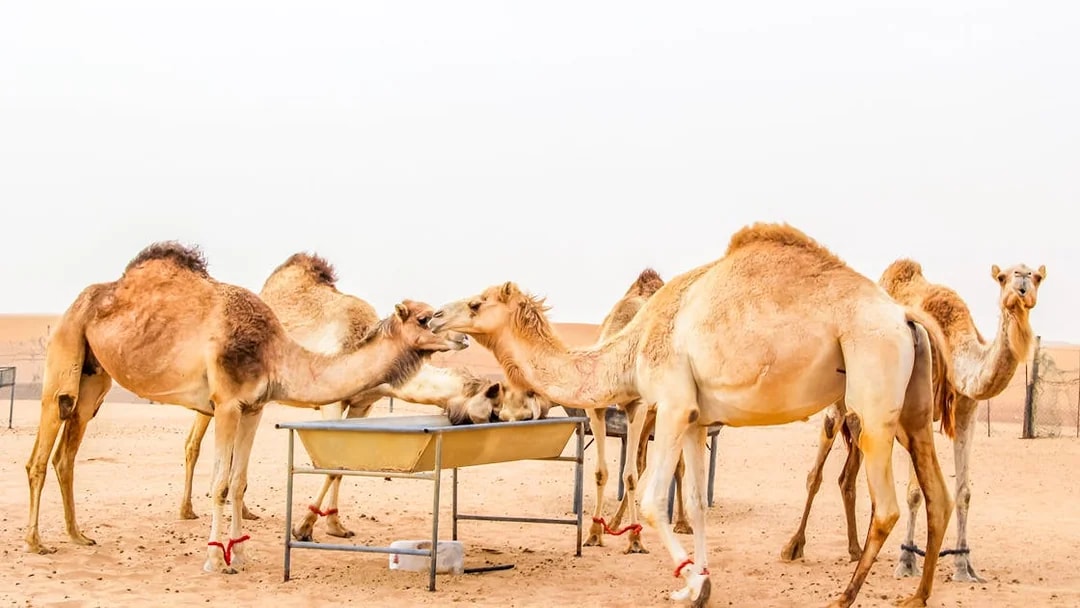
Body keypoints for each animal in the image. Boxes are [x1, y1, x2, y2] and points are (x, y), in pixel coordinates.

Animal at [24, 242, 458, 574]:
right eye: (426, 318)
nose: (459, 339)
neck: (274, 352)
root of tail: (80, 301)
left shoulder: (253, 407)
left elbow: (237, 482)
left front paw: (243, 554)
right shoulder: (227, 403)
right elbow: (219, 484)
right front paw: (216, 560)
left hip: (93, 379)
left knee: (66, 454)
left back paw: (77, 535)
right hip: (64, 353)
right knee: (41, 452)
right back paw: (35, 542)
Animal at [178, 253, 536, 543]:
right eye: (495, 406)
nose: (463, 338)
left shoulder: (364, 404)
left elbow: (343, 464)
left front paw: (335, 526)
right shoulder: (332, 402)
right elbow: (330, 464)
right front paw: (304, 528)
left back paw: (246, 511)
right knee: (194, 443)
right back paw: (187, 510)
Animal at [429, 223, 954, 608]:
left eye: (476, 302)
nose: (434, 316)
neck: (633, 345)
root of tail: (904, 316)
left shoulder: (672, 403)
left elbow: (651, 500)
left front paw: (688, 584)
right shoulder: (698, 418)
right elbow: (698, 504)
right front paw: (702, 579)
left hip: (873, 391)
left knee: (886, 506)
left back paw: (843, 597)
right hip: (912, 409)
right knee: (938, 495)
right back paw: (917, 596)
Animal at [780, 259, 1045, 584]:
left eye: (1037, 276)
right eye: (1003, 277)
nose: (1022, 285)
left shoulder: (967, 410)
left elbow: (964, 492)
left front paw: (964, 566)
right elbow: (915, 493)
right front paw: (907, 561)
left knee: (848, 478)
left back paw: (856, 550)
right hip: (836, 404)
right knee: (815, 474)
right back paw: (794, 546)